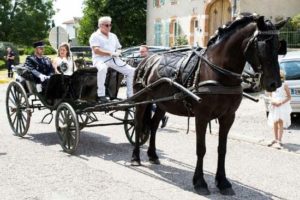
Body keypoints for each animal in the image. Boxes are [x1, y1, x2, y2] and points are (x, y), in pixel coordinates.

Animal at [131, 15, 288, 195]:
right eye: (262, 46)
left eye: (279, 46)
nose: (274, 83)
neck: (218, 72)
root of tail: (147, 59)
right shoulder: (202, 116)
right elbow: (201, 148)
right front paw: (200, 182)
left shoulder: (228, 117)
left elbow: (222, 149)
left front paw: (223, 182)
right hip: (141, 100)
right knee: (138, 124)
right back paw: (135, 157)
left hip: (162, 104)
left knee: (153, 125)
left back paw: (152, 155)